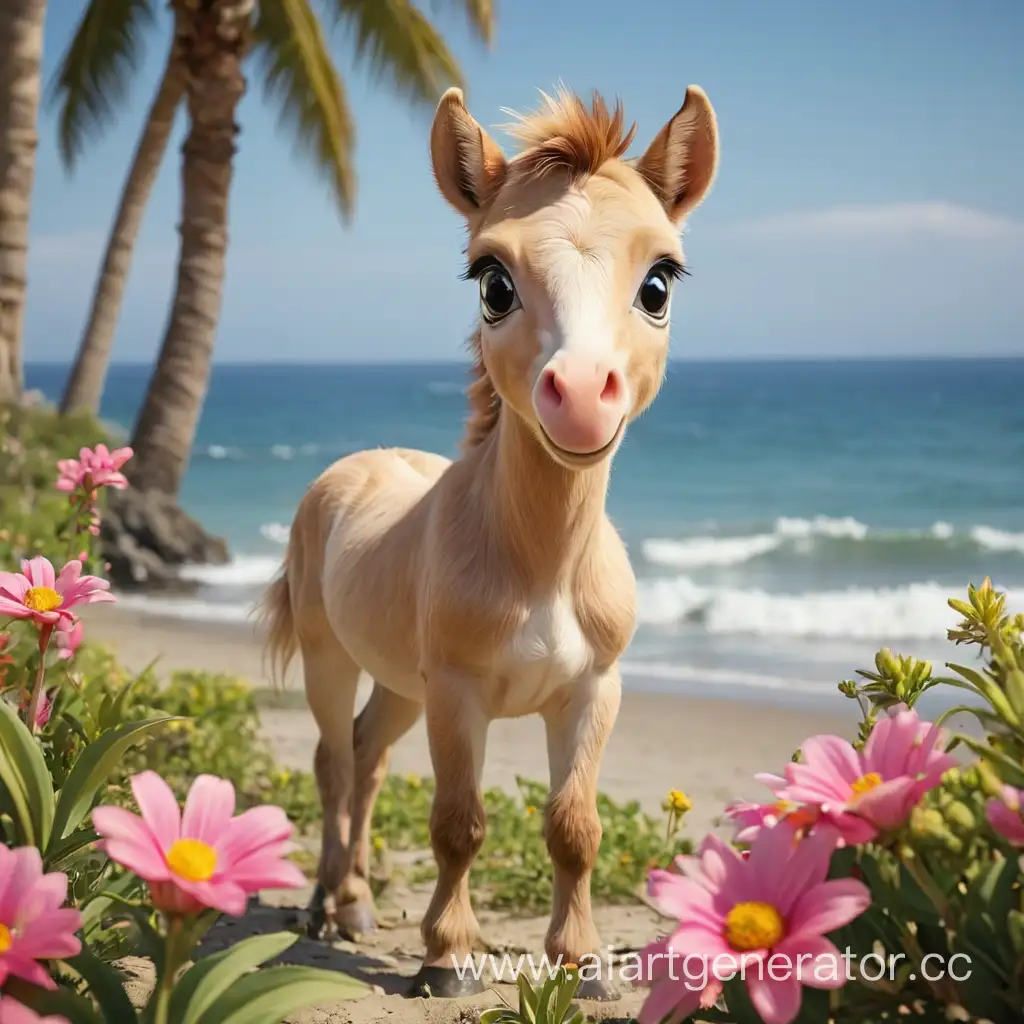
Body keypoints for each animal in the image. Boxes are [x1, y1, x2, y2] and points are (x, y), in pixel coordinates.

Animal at [260, 86, 716, 999]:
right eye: (493, 282)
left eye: (658, 282)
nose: (581, 394)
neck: (539, 564)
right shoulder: (458, 695)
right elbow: (458, 824)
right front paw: (448, 959)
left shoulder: (590, 694)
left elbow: (574, 827)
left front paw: (582, 964)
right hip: (336, 660)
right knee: (332, 764)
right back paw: (325, 904)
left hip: (399, 684)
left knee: (365, 756)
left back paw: (358, 904)